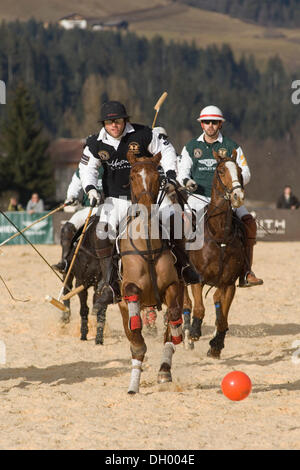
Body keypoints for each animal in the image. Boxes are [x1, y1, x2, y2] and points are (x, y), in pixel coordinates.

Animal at [118, 151, 184, 392]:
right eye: (133, 176)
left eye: (158, 177)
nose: (146, 206)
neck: (146, 243)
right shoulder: (127, 288)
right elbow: (135, 330)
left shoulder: (173, 286)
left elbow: (173, 316)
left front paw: (176, 335)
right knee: (135, 340)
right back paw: (134, 383)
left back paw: (165, 369)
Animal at [184, 149, 247, 358]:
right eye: (220, 171)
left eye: (239, 171)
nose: (237, 195)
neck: (219, 234)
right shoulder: (197, 277)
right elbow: (199, 308)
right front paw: (194, 332)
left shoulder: (229, 283)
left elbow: (223, 317)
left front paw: (216, 345)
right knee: (186, 303)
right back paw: (186, 335)